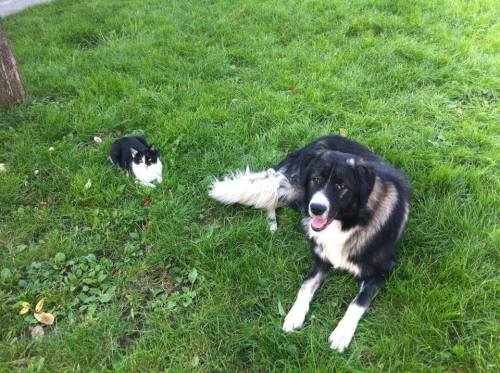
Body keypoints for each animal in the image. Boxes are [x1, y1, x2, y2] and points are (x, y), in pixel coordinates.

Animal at [210, 136, 410, 352]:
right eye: (316, 179)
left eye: (342, 186)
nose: (317, 209)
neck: (350, 222)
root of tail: (316, 141)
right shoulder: (321, 259)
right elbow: (305, 286)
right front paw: (294, 314)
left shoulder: (383, 271)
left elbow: (358, 302)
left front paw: (342, 333)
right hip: (297, 194)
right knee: (272, 193)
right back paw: (272, 223)